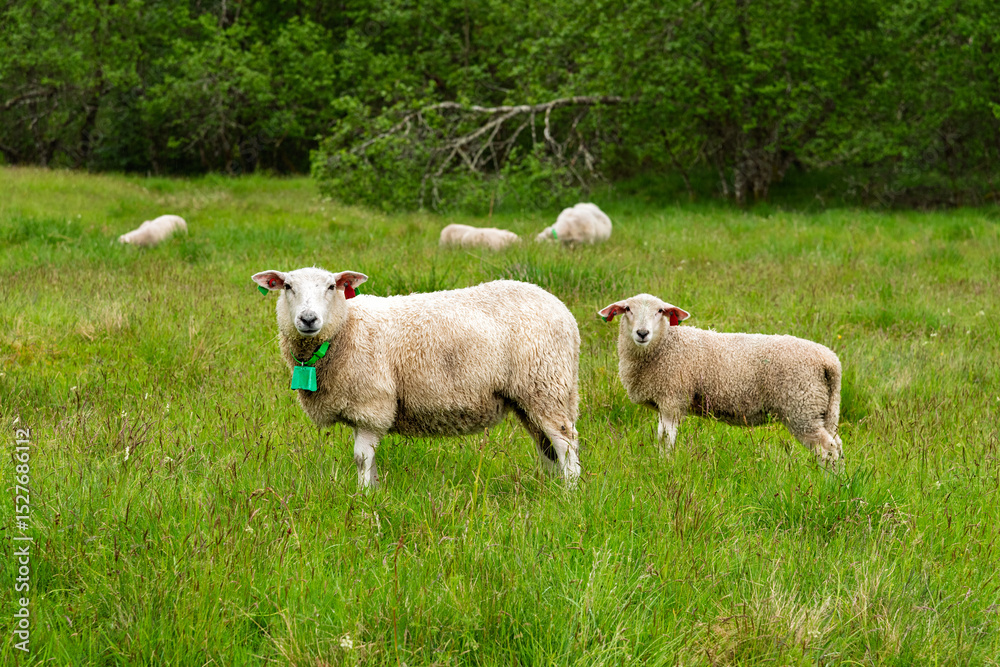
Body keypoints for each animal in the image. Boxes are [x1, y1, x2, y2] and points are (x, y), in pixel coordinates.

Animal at [252, 267, 582, 488]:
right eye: (288, 286)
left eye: (332, 286)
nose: (308, 319)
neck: (346, 329)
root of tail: (563, 310)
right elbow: (370, 460)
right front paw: (373, 492)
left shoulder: (372, 405)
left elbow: (361, 458)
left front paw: (361, 498)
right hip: (530, 396)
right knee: (547, 448)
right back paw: (550, 488)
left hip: (545, 384)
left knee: (566, 444)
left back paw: (569, 493)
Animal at [598, 294, 843, 465]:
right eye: (627, 309)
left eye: (660, 311)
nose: (642, 333)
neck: (665, 345)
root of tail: (829, 360)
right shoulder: (664, 403)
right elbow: (661, 437)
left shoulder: (672, 398)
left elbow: (667, 439)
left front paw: (664, 465)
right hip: (824, 408)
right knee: (837, 445)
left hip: (802, 407)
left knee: (828, 449)